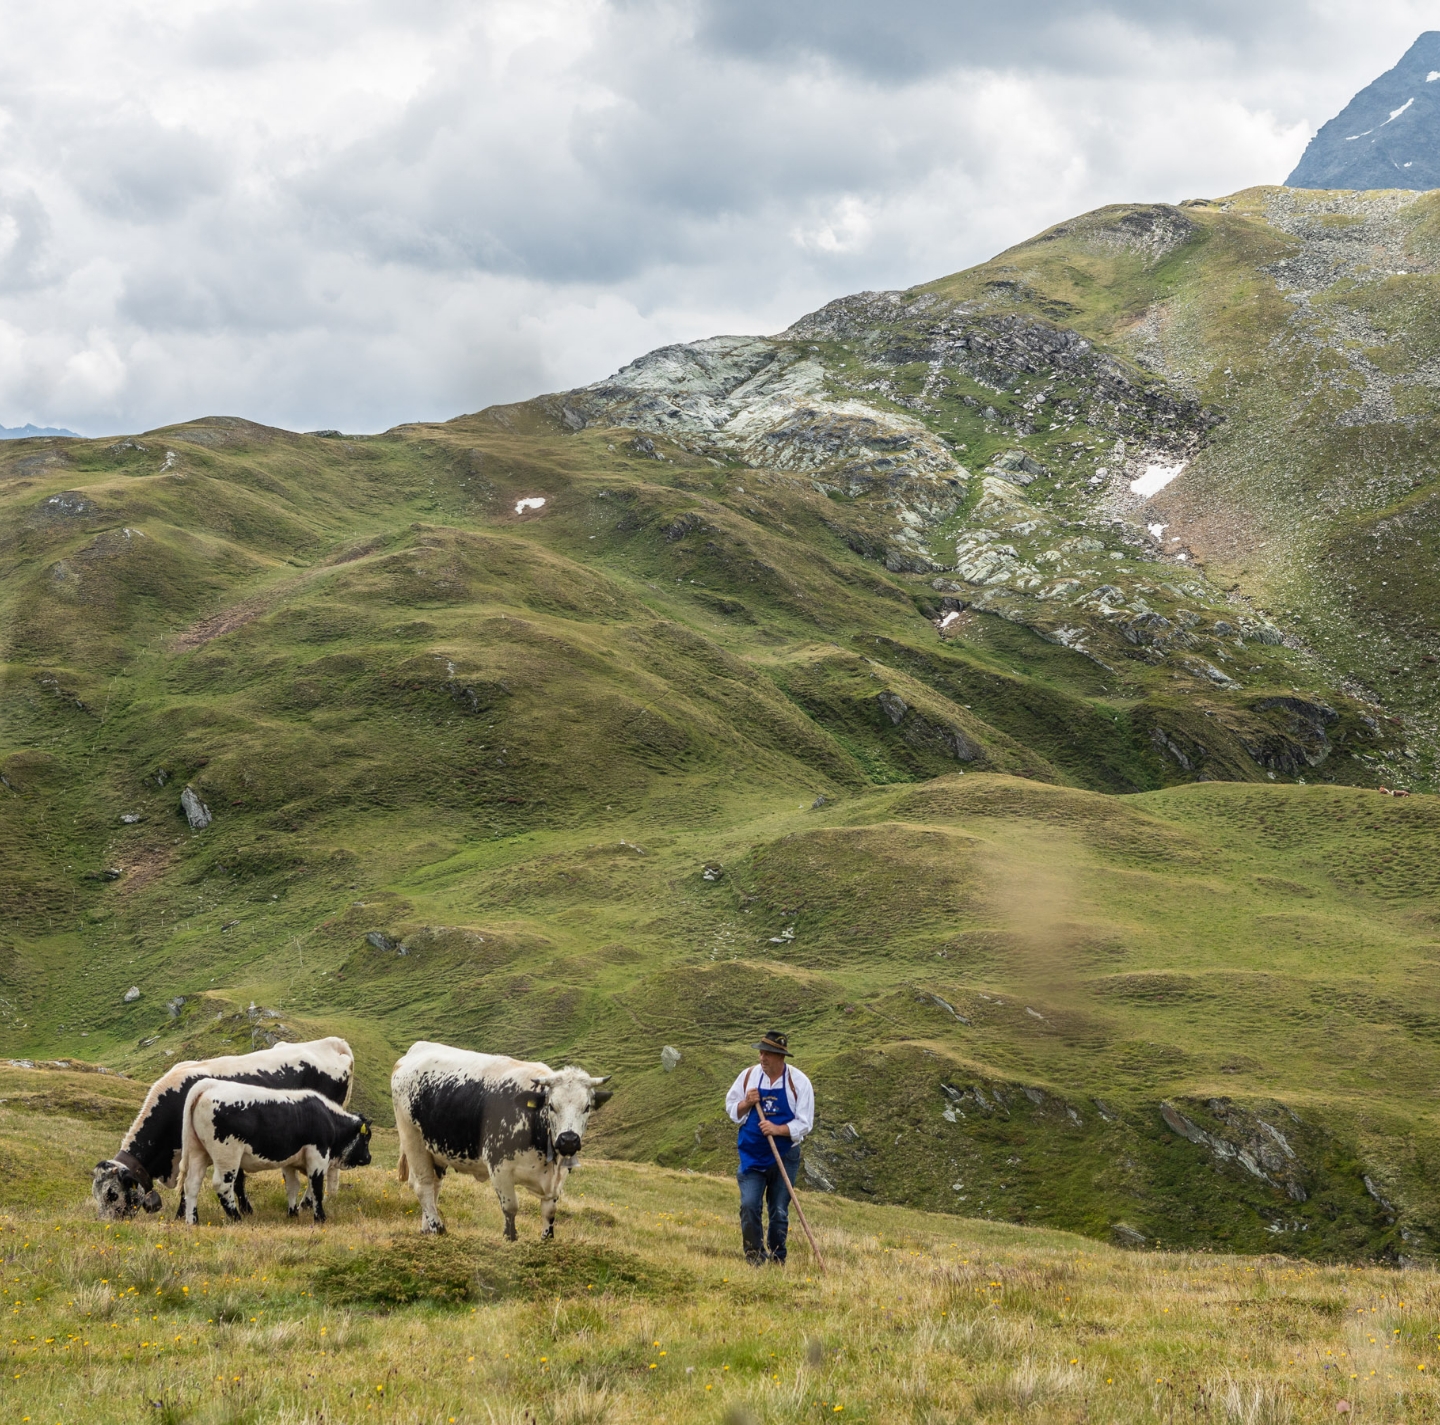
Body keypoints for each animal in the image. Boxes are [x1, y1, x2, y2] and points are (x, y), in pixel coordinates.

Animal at [91, 1036, 354, 1221]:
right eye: (96, 1194)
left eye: (112, 1194)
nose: (105, 1223)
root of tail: (331, 1043)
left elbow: (225, 1181)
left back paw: (307, 1204)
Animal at [178, 1079, 373, 1224]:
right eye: (366, 1138)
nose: (368, 1158)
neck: (327, 1117)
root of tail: (209, 1084)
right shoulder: (317, 1156)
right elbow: (316, 1186)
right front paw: (320, 1218)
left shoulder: (289, 1161)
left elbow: (292, 1186)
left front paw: (292, 1213)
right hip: (227, 1155)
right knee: (222, 1185)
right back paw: (237, 1218)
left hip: (197, 1152)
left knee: (192, 1183)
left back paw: (193, 1221)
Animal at [391, 1041, 611, 1239]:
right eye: (551, 1106)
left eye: (587, 1107)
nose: (568, 1140)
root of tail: (417, 1049)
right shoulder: (499, 1167)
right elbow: (511, 1208)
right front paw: (509, 1238)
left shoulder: (557, 1178)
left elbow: (549, 1212)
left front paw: (546, 1240)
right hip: (412, 1138)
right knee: (423, 1185)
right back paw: (438, 1228)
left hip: (436, 1149)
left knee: (435, 1186)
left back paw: (427, 1229)